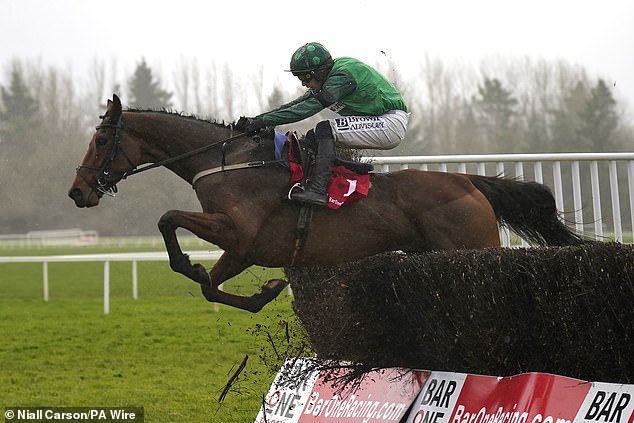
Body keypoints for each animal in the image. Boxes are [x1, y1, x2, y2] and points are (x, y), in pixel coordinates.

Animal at [68, 95, 584, 312]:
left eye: (100, 140)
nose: (77, 191)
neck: (227, 162)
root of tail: (469, 183)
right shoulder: (246, 249)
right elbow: (211, 287)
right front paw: (264, 292)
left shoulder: (238, 231)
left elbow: (167, 217)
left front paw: (192, 264)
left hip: (473, 249)